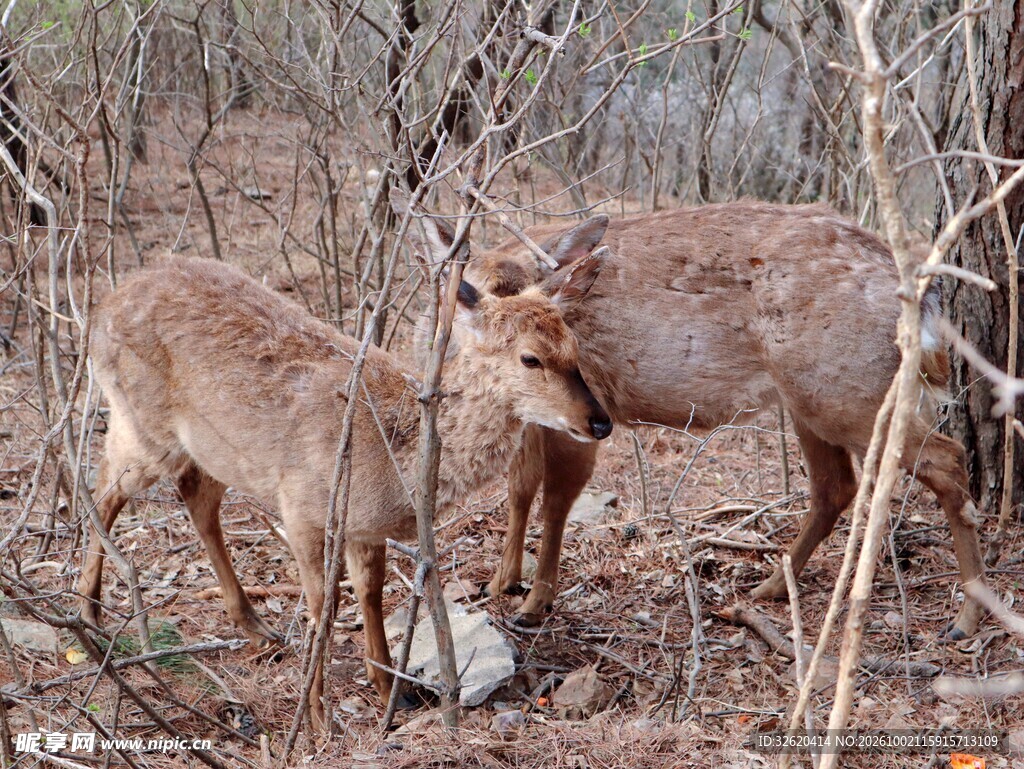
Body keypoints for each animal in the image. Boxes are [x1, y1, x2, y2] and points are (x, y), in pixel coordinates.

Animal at [78, 241, 612, 730]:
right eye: (530, 358)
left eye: (575, 349)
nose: (600, 422)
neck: (394, 457)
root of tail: (103, 306)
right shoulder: (302, 507)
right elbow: (325, 606)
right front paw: (316, 718)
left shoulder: (365, 527)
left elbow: (371, 594)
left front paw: (391, 688)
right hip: (143, 424)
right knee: (102, 489)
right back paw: (89, 616)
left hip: (211, 450)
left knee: (195, 497)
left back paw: (253, 626)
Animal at [457, 201, 987, 640]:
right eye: (473, 293)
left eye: (534, 294)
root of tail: (920, 295)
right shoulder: (534, 418)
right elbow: (520, 488)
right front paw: (501, 582)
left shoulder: (587, 413)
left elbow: (556, 500)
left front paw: (534, 603)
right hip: (811, 399)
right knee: (836, 485)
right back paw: (769, 587)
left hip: (846, 390)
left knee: (946, 457)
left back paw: (966, 617)